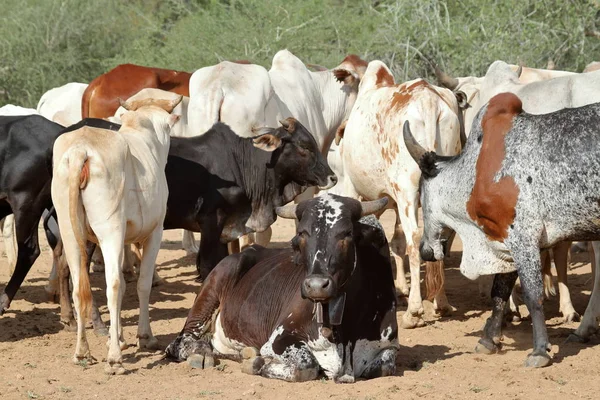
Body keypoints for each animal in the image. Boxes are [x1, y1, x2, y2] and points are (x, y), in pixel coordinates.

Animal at [51, 94, 180, 376]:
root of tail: (81, 150)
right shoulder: (154, 232)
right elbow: (141, 284)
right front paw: (144, 337)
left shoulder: (122, 240)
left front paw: (118, 336)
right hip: (110, 231)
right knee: (112, 286)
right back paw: (114, 360)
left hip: (71, 232)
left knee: (79, 287)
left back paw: (82, 352)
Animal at [164, 195, 398, 382]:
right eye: (302, 233)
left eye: (347, 233)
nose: (316, 286)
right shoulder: (279, 338)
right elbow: (307, 365)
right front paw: (258, 363)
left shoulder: (389, 346)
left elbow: (386, 365)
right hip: (214, 284)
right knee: (180, 341)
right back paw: (201, 353)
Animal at [404, 91, 600, 368]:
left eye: (421, 193)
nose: (425, 250)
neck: (475, 171)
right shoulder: (505, 241)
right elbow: (499, 292)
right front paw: (488, 340)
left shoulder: (523, 238)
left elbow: (533, 295)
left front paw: (539, 351)